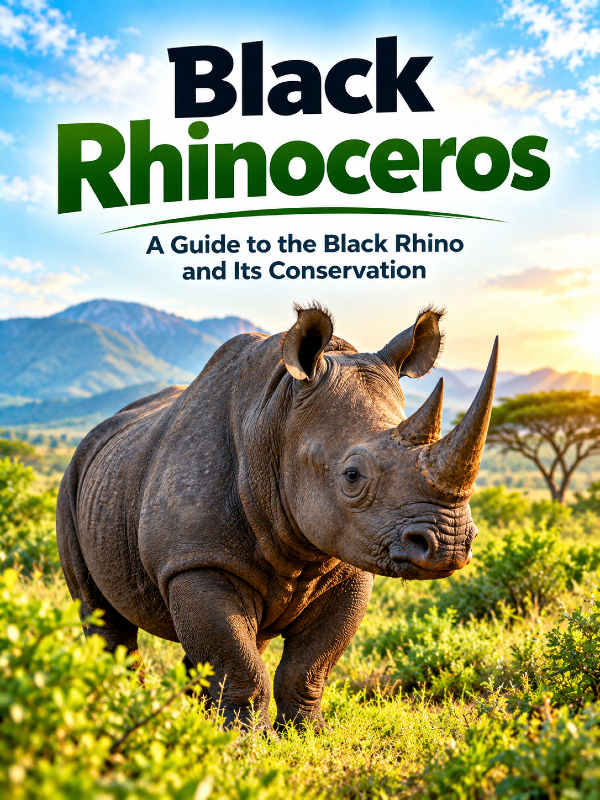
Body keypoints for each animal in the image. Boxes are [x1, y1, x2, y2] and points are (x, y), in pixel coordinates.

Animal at [57, 302, 498, 734]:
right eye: (352, 476)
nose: (451, 544)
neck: (277, 421)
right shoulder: (194, 561)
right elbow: (238, 661)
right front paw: (245, 739)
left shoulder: (348, 563)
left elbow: (311, 662)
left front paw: (307, 732)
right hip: (73, 480)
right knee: (100, 614)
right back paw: (123, 708)